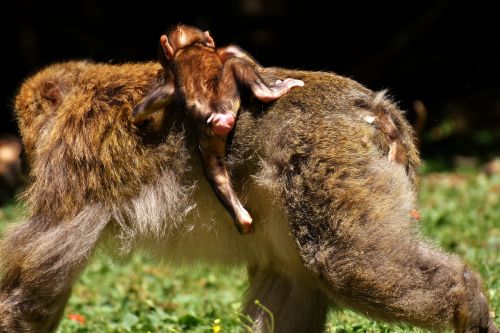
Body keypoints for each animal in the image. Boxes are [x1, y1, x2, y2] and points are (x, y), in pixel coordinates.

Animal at [133, 24, 302, 233]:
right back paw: (269, 92)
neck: (187, 46)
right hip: (226, 94)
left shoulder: (171, 80)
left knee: (214, 169)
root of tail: (217, 116)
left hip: (207, 133)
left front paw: (140, 119)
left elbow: (146, 105)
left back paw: (242, 219)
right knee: (235, 64)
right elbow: (238, 55)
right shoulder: (223, 51)